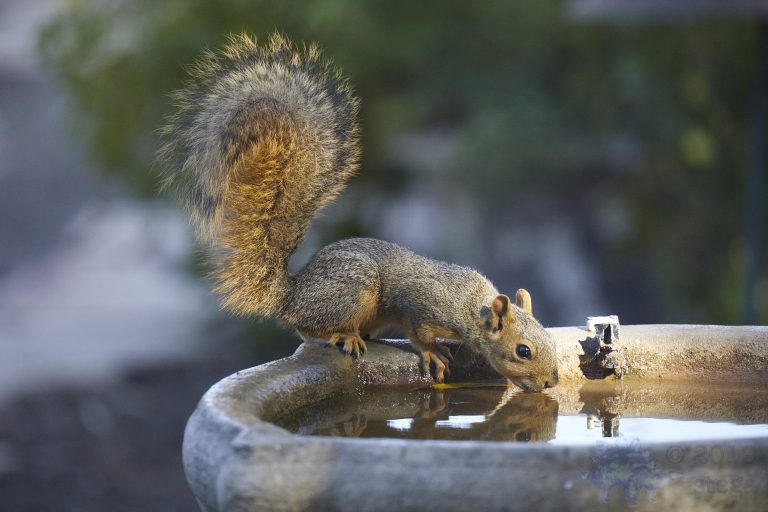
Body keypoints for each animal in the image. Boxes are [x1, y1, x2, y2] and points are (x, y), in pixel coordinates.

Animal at [159, 33, 559, 392]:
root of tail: (292, 294)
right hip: (355, 289)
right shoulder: (419, 304)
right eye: (523, 351)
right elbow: (419, 333)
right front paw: (432, 353)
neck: (469, 307)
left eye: (550, 341)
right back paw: (344, 336)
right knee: (309, 330)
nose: (550, 382)